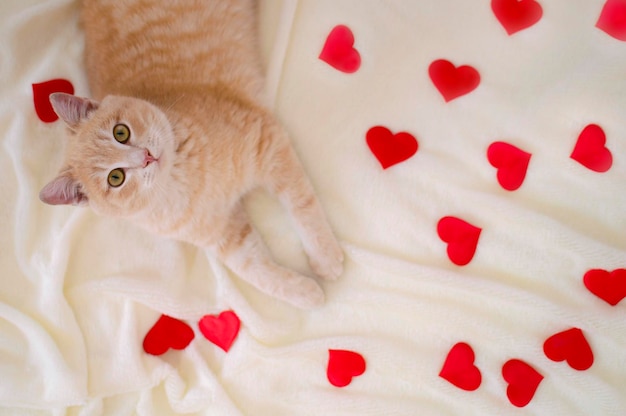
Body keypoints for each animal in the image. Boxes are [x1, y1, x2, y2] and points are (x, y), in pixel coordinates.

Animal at [39, 0, 342, 308]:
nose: (146, 157)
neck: (182, 179)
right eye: (116, 178)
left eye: (120, 132)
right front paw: (303, 292)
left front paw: (326, 257)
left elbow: (303, 206)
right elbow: (256, 271)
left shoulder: (266, 140)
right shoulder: (227, 237)